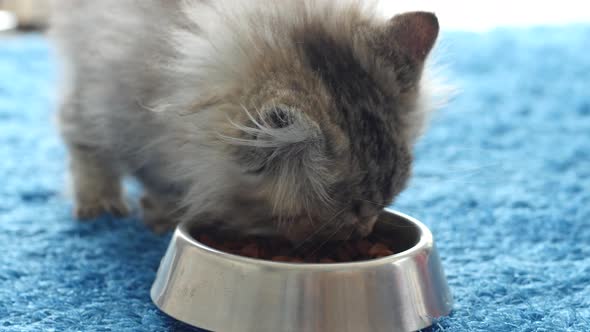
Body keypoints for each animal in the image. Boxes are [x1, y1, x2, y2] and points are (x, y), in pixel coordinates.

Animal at [48, 0, 442, 244]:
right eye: (351, 213)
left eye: (385, 204)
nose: (366, 228)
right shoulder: (98, 97)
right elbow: (91, 152)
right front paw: (108, 205)